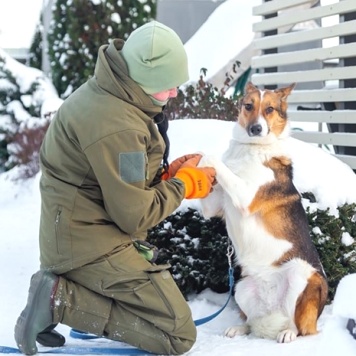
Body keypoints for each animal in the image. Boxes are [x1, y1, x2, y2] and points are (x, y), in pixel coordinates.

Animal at [199, 82, 326, 342]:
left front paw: (205, 157)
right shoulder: (213, 206)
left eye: (269, 109)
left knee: (298, 326)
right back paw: (240, 328)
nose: (256, 129)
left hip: (301, 273)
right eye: (248, 106)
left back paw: (287, 333)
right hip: (241, 287)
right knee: (251, 322)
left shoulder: (246, 196)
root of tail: (272, 308)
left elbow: (218, 163)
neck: (251, 148)